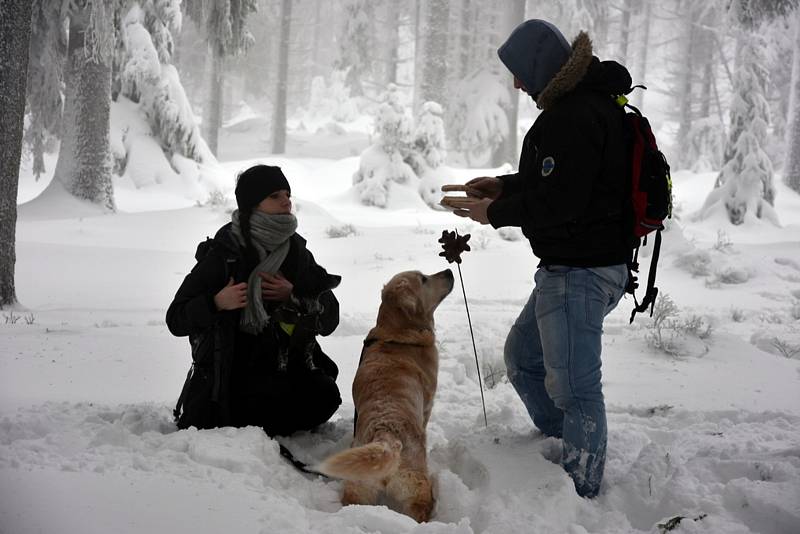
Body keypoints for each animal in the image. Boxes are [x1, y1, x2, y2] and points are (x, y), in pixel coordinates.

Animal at [316, 268, 454, 524]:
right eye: (423, 279)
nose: (449, 271)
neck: (396, 334)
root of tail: (386, 435)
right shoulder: (428, 402)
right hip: (415, 487)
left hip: (359, 487)